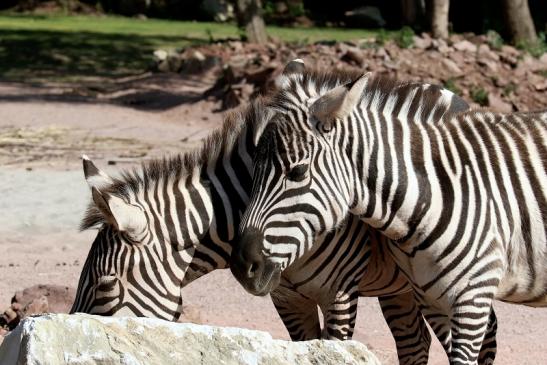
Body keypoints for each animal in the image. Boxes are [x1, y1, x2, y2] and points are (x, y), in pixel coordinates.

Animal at [230, 61, 544, 362]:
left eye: (298, 172)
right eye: (252, 171)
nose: (242, 266)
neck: (435, 194)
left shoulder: (472, 299)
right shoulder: (431, 296)